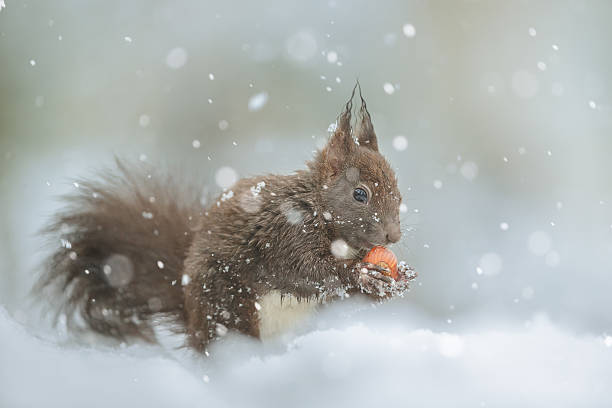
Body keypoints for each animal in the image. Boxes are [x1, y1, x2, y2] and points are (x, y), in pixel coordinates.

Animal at [35, 87, 414, 354]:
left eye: (399, 193)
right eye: (360, 194)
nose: (393, 236)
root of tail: (191, 319)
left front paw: (399, 278)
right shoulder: (283, 233)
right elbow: (304, 270)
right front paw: (361, 273)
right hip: (229, 304)